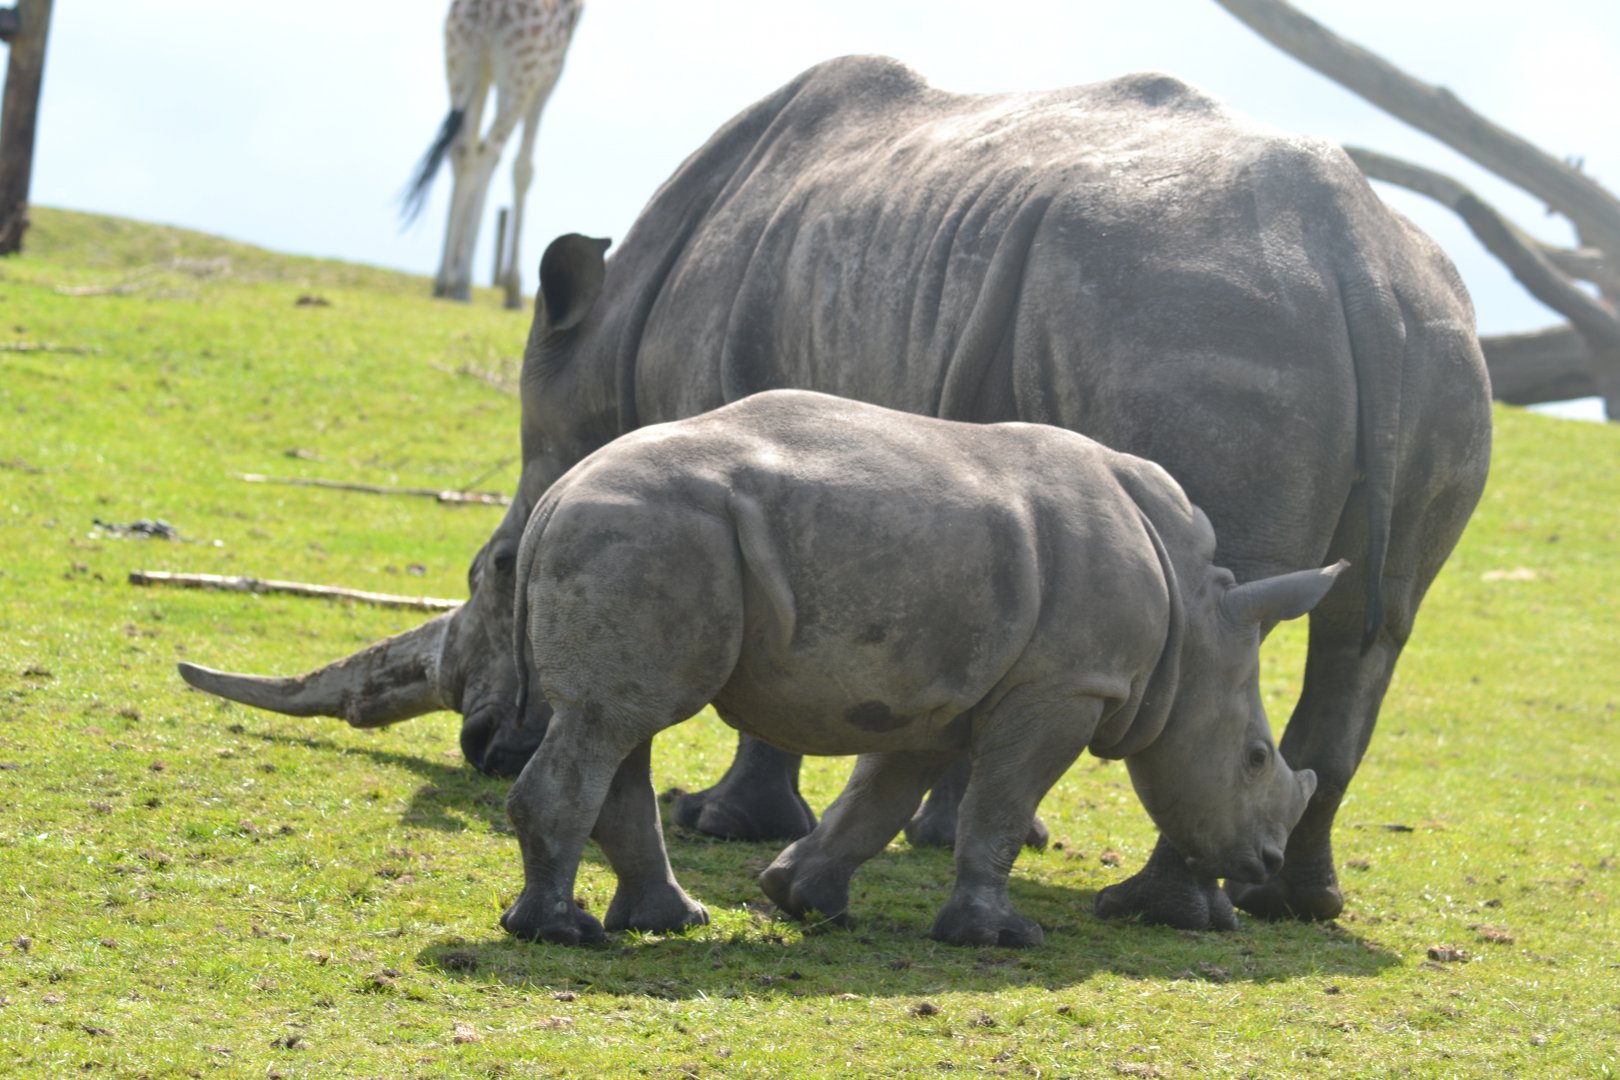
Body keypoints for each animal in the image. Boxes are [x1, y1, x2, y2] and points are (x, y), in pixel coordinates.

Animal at [498, 389, 1333, 946]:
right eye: (1255, 758)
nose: (1263, 861)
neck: (1195, 631)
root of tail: (558, 493)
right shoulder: (1066, 685)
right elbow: (999, 806)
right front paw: (999, 938)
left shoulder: (931, 698)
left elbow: (880, 797)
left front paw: (804, 898)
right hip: (654, 530)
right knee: (611, 724)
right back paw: (559, 934)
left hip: (653, 536)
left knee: (622, 726)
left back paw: (669, 923)